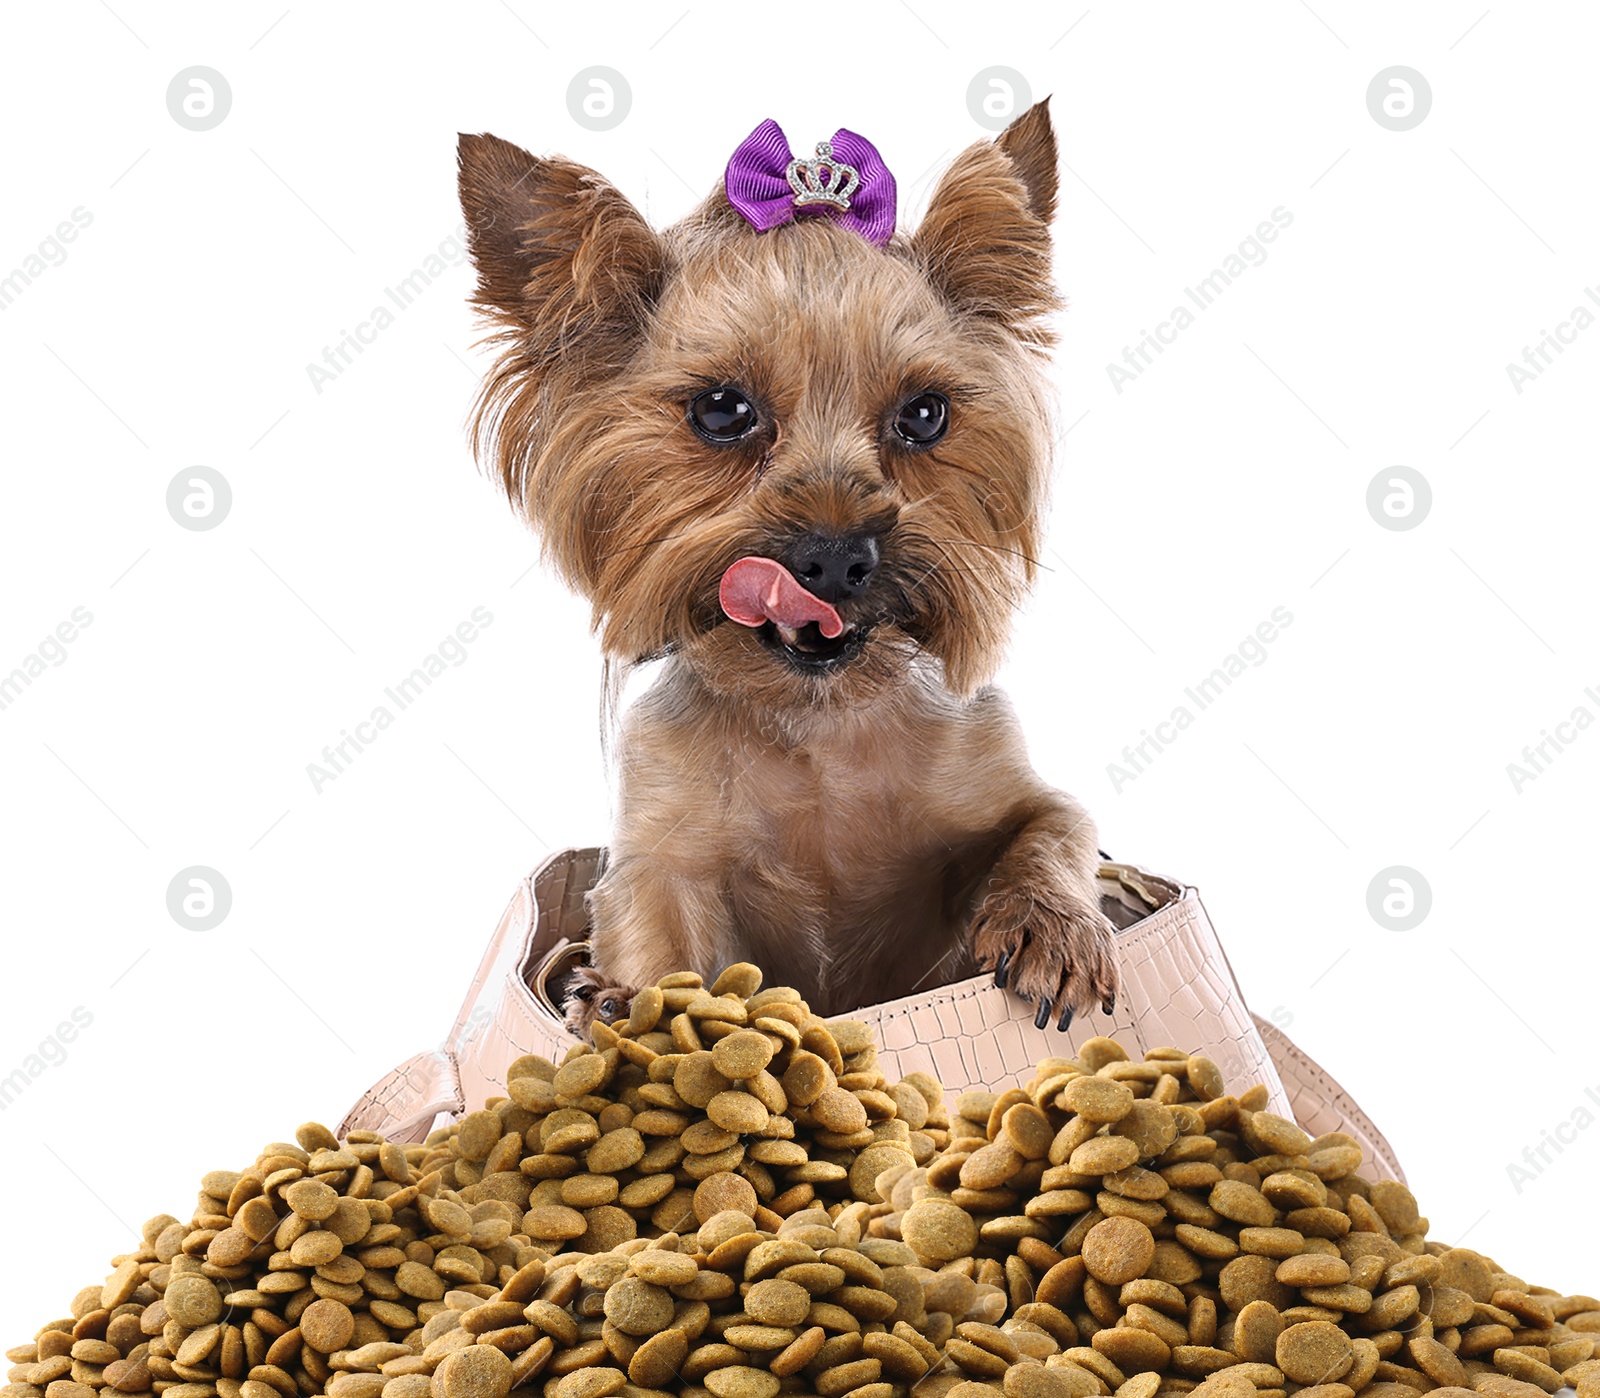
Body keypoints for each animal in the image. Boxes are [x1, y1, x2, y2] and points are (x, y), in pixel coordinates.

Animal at [457, 100, 1120, 1036]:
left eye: (925, 414)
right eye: (721, 410)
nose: (836, 557)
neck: (820, 725)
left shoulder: (1010, 780)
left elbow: (1055, 827)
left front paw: (1052, 927)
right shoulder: (659, 863)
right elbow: (660, 946)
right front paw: (617, 1005)